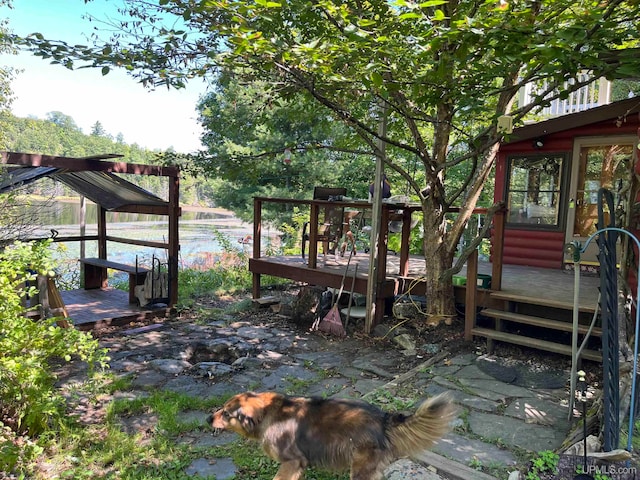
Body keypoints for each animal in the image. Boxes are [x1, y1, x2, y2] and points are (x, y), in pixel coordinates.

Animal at [208, 390, 458, 480]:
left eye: (227, 413)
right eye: (221, 408)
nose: (208, 418)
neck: (267, 413)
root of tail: (382, 418)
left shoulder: (291, 461)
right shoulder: (298, 466)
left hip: (359, 470)